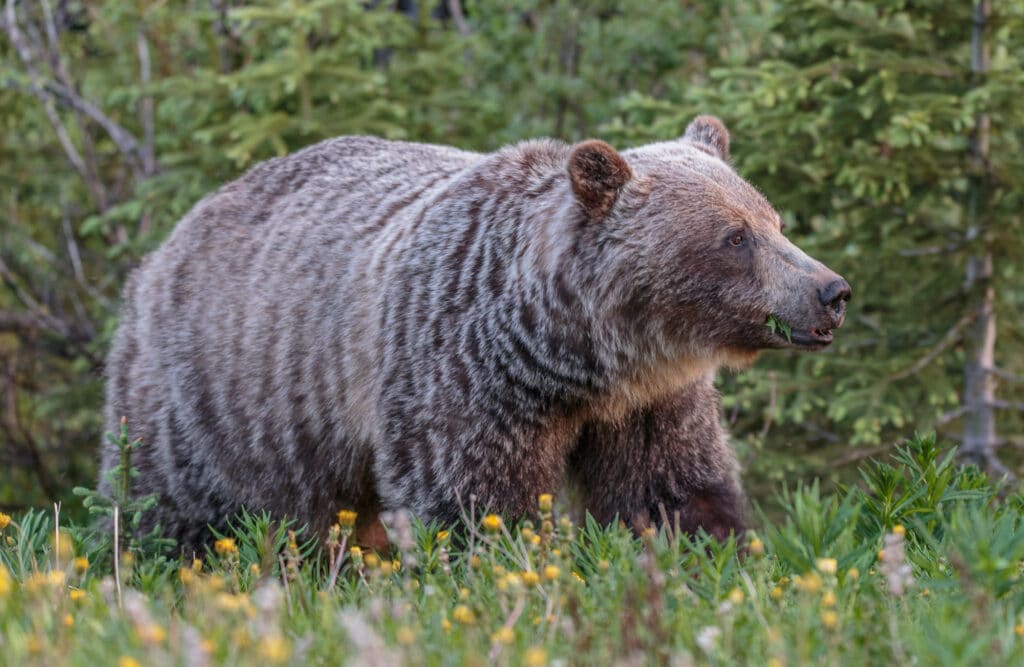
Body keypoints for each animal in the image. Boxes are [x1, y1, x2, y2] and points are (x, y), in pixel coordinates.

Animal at [99, 116, 847, 553]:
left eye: (773, 219)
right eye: (734, 236)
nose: (831, 292)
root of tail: (165, 244)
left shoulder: (649, 400)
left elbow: (666, 489)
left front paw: (713, 553)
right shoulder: (458, 375)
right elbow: (475, 499)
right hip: (216, 395)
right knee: (173, 506)